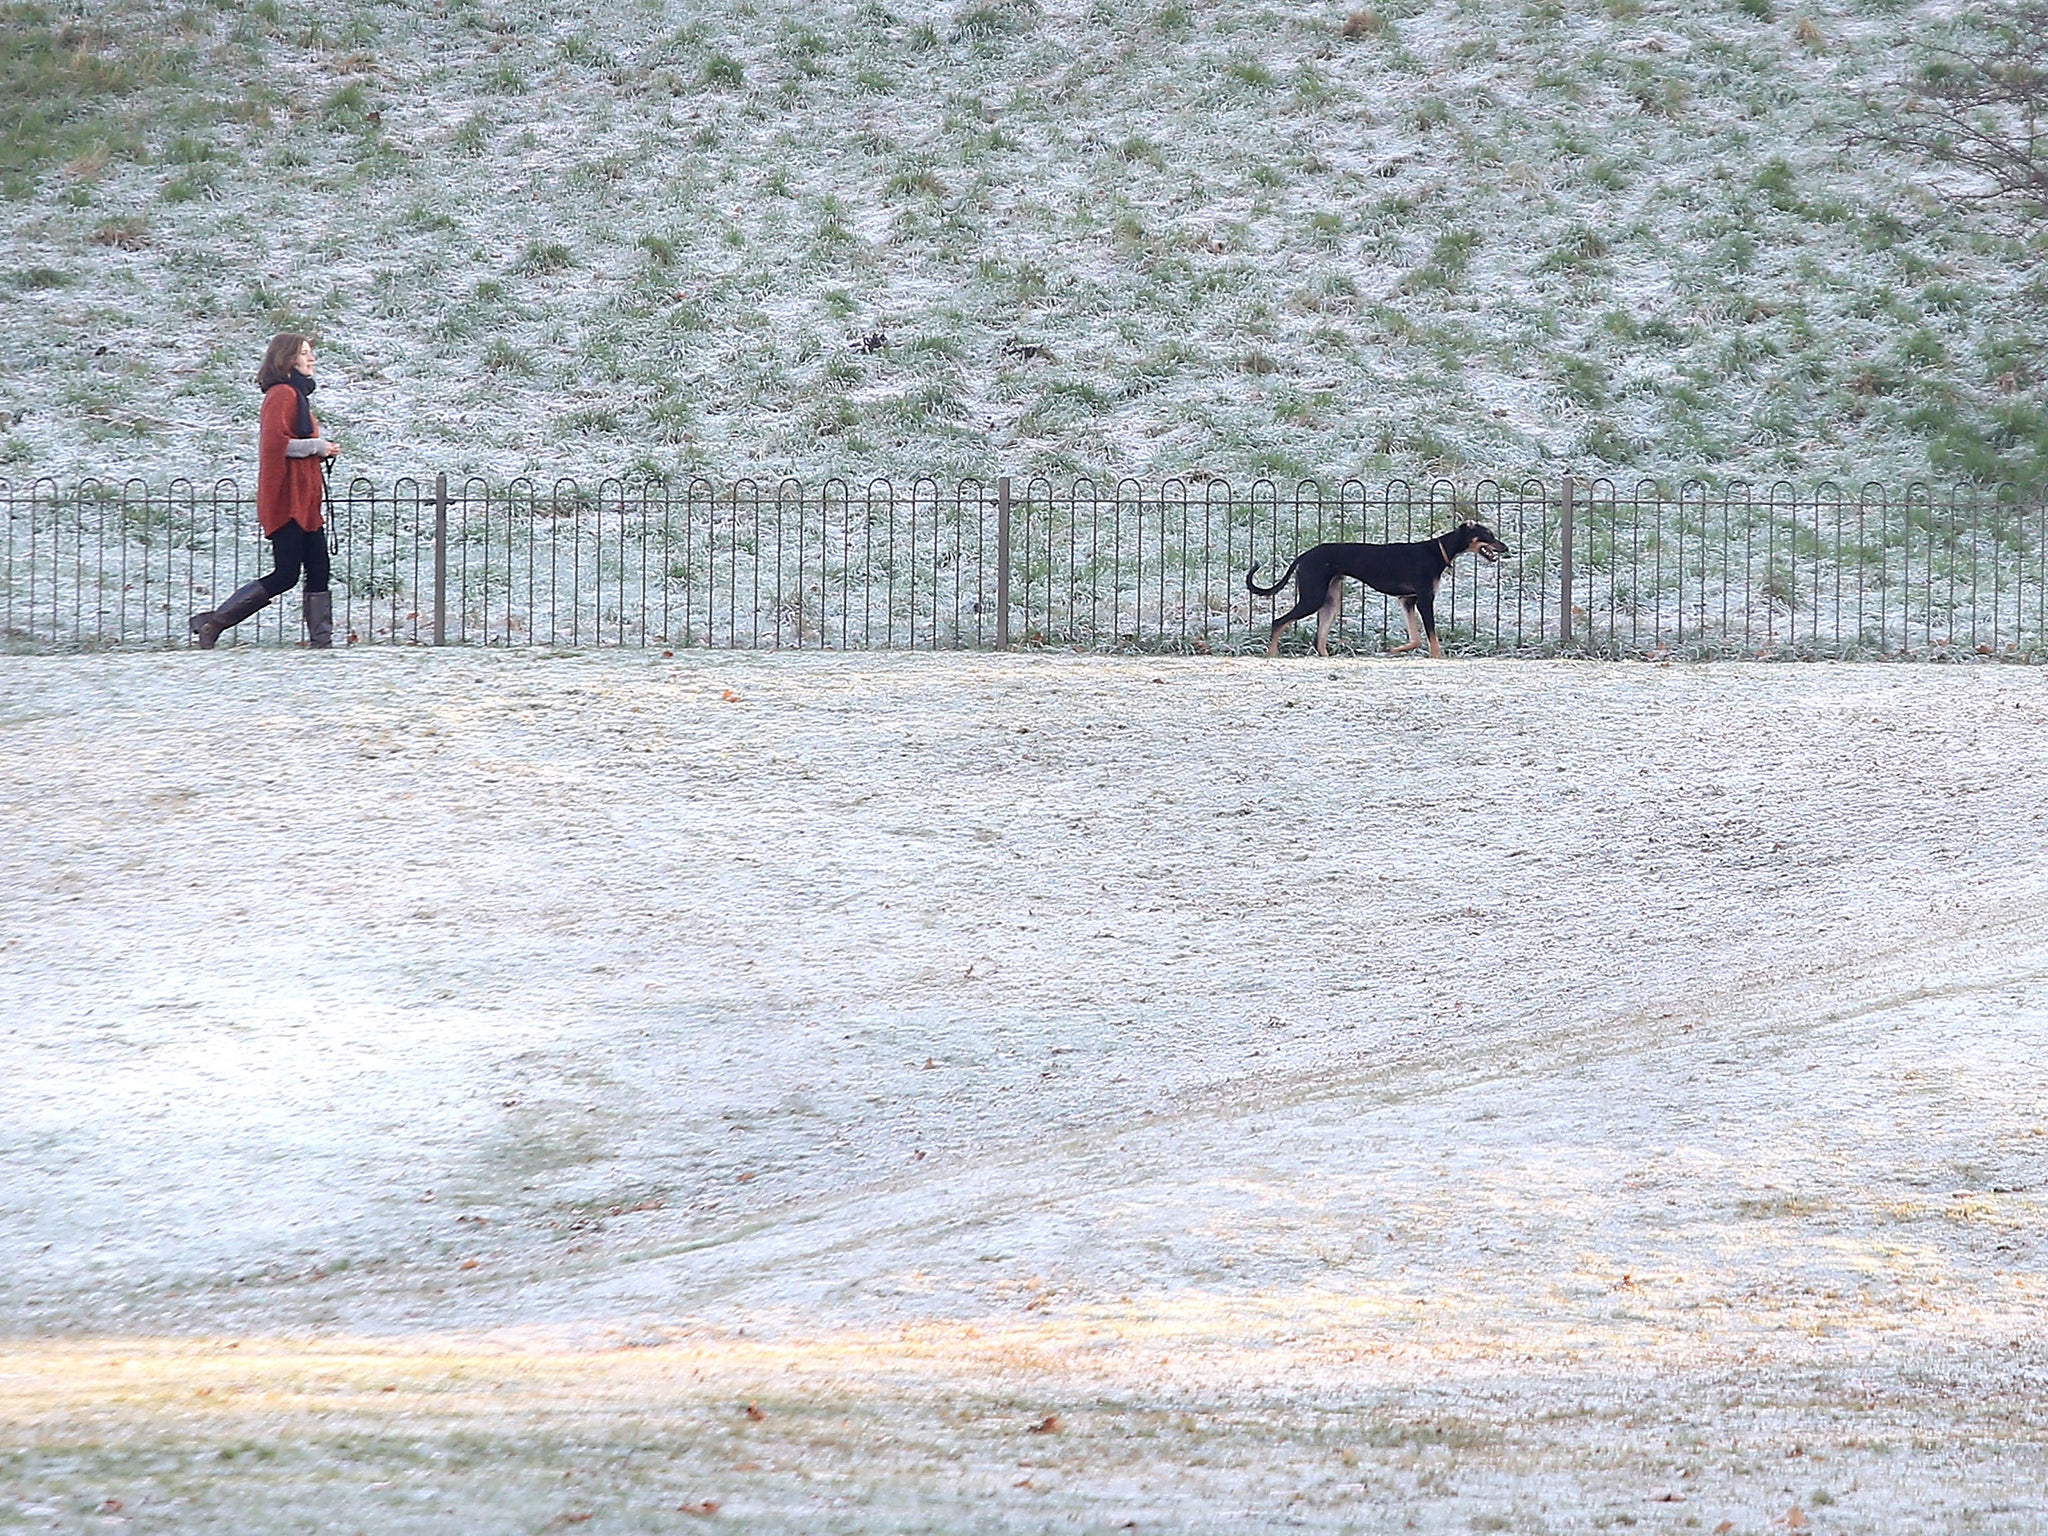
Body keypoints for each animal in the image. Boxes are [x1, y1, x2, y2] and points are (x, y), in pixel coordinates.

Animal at [1236, 528, 1515, 659]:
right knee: (1278, 621)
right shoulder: (1425, 601)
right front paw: (1439, 658)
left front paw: (1393, 650)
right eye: (1488, 534)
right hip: (1312, 599)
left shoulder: (1407, 601)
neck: (1437, 550)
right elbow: (1432, 637)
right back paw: (1272, 655)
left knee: (1319, 640)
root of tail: (1304, 555)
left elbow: (1416, 639)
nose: (1506, 548)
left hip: (1330, 601)